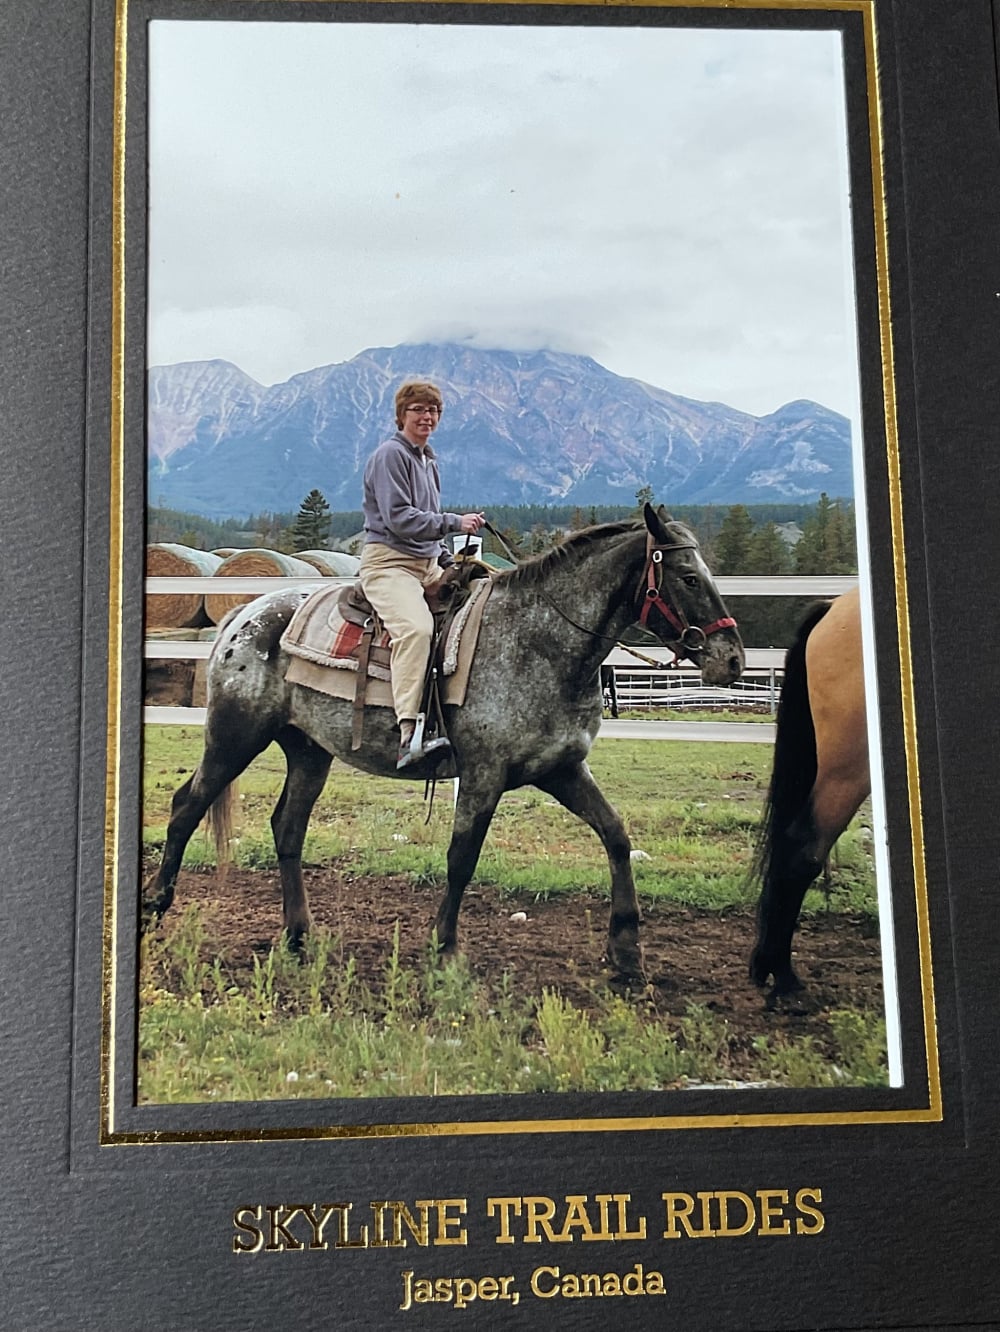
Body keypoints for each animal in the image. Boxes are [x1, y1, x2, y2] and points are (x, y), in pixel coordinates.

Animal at [143, 503, 744, 983]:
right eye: (688, 577)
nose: (733, 659)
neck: (539, 644)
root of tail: (242, 615)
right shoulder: (483, 775)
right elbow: (462, 857)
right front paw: (446, 948)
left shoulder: (563, 770)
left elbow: (616, 836)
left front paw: (626, 950)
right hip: (235, 735)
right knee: (187, 805)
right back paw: (155, 904)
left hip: (308, 750)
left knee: (287, 828)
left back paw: (298, 934)